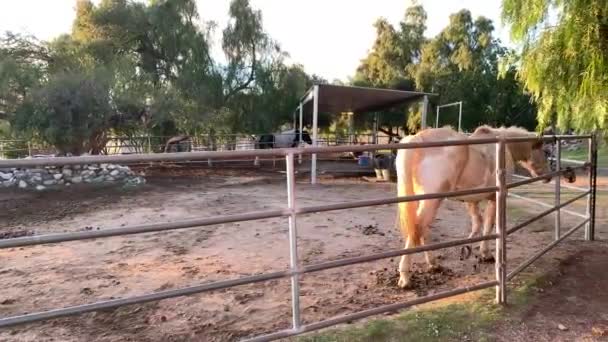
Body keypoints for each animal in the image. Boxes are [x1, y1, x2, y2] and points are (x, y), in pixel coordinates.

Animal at [394, 124, 552, 288]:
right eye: (546, 152)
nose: (548, 176)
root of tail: (417, 139)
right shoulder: (495, 198)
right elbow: (488, 225)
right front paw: (486, 254)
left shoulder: (471, 200)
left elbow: (477, 222)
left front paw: (467, 247)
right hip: (432, 200)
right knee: (418, 227)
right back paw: (405, 276)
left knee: (421, 228)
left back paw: (433, 264)